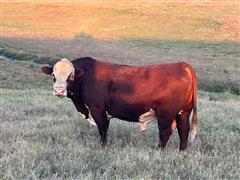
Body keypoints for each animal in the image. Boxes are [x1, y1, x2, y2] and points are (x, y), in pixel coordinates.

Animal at [42, 57, 198, 150]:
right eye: (53, 75)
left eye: (71, 76)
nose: (59, 91)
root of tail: (182, 65)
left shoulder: (97, 108)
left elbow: (103, 128)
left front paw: (103, 146)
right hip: (183, 112)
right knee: (183, 130)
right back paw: (182, 151)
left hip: (166, 113)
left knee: (165, 132)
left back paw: (159, 150)